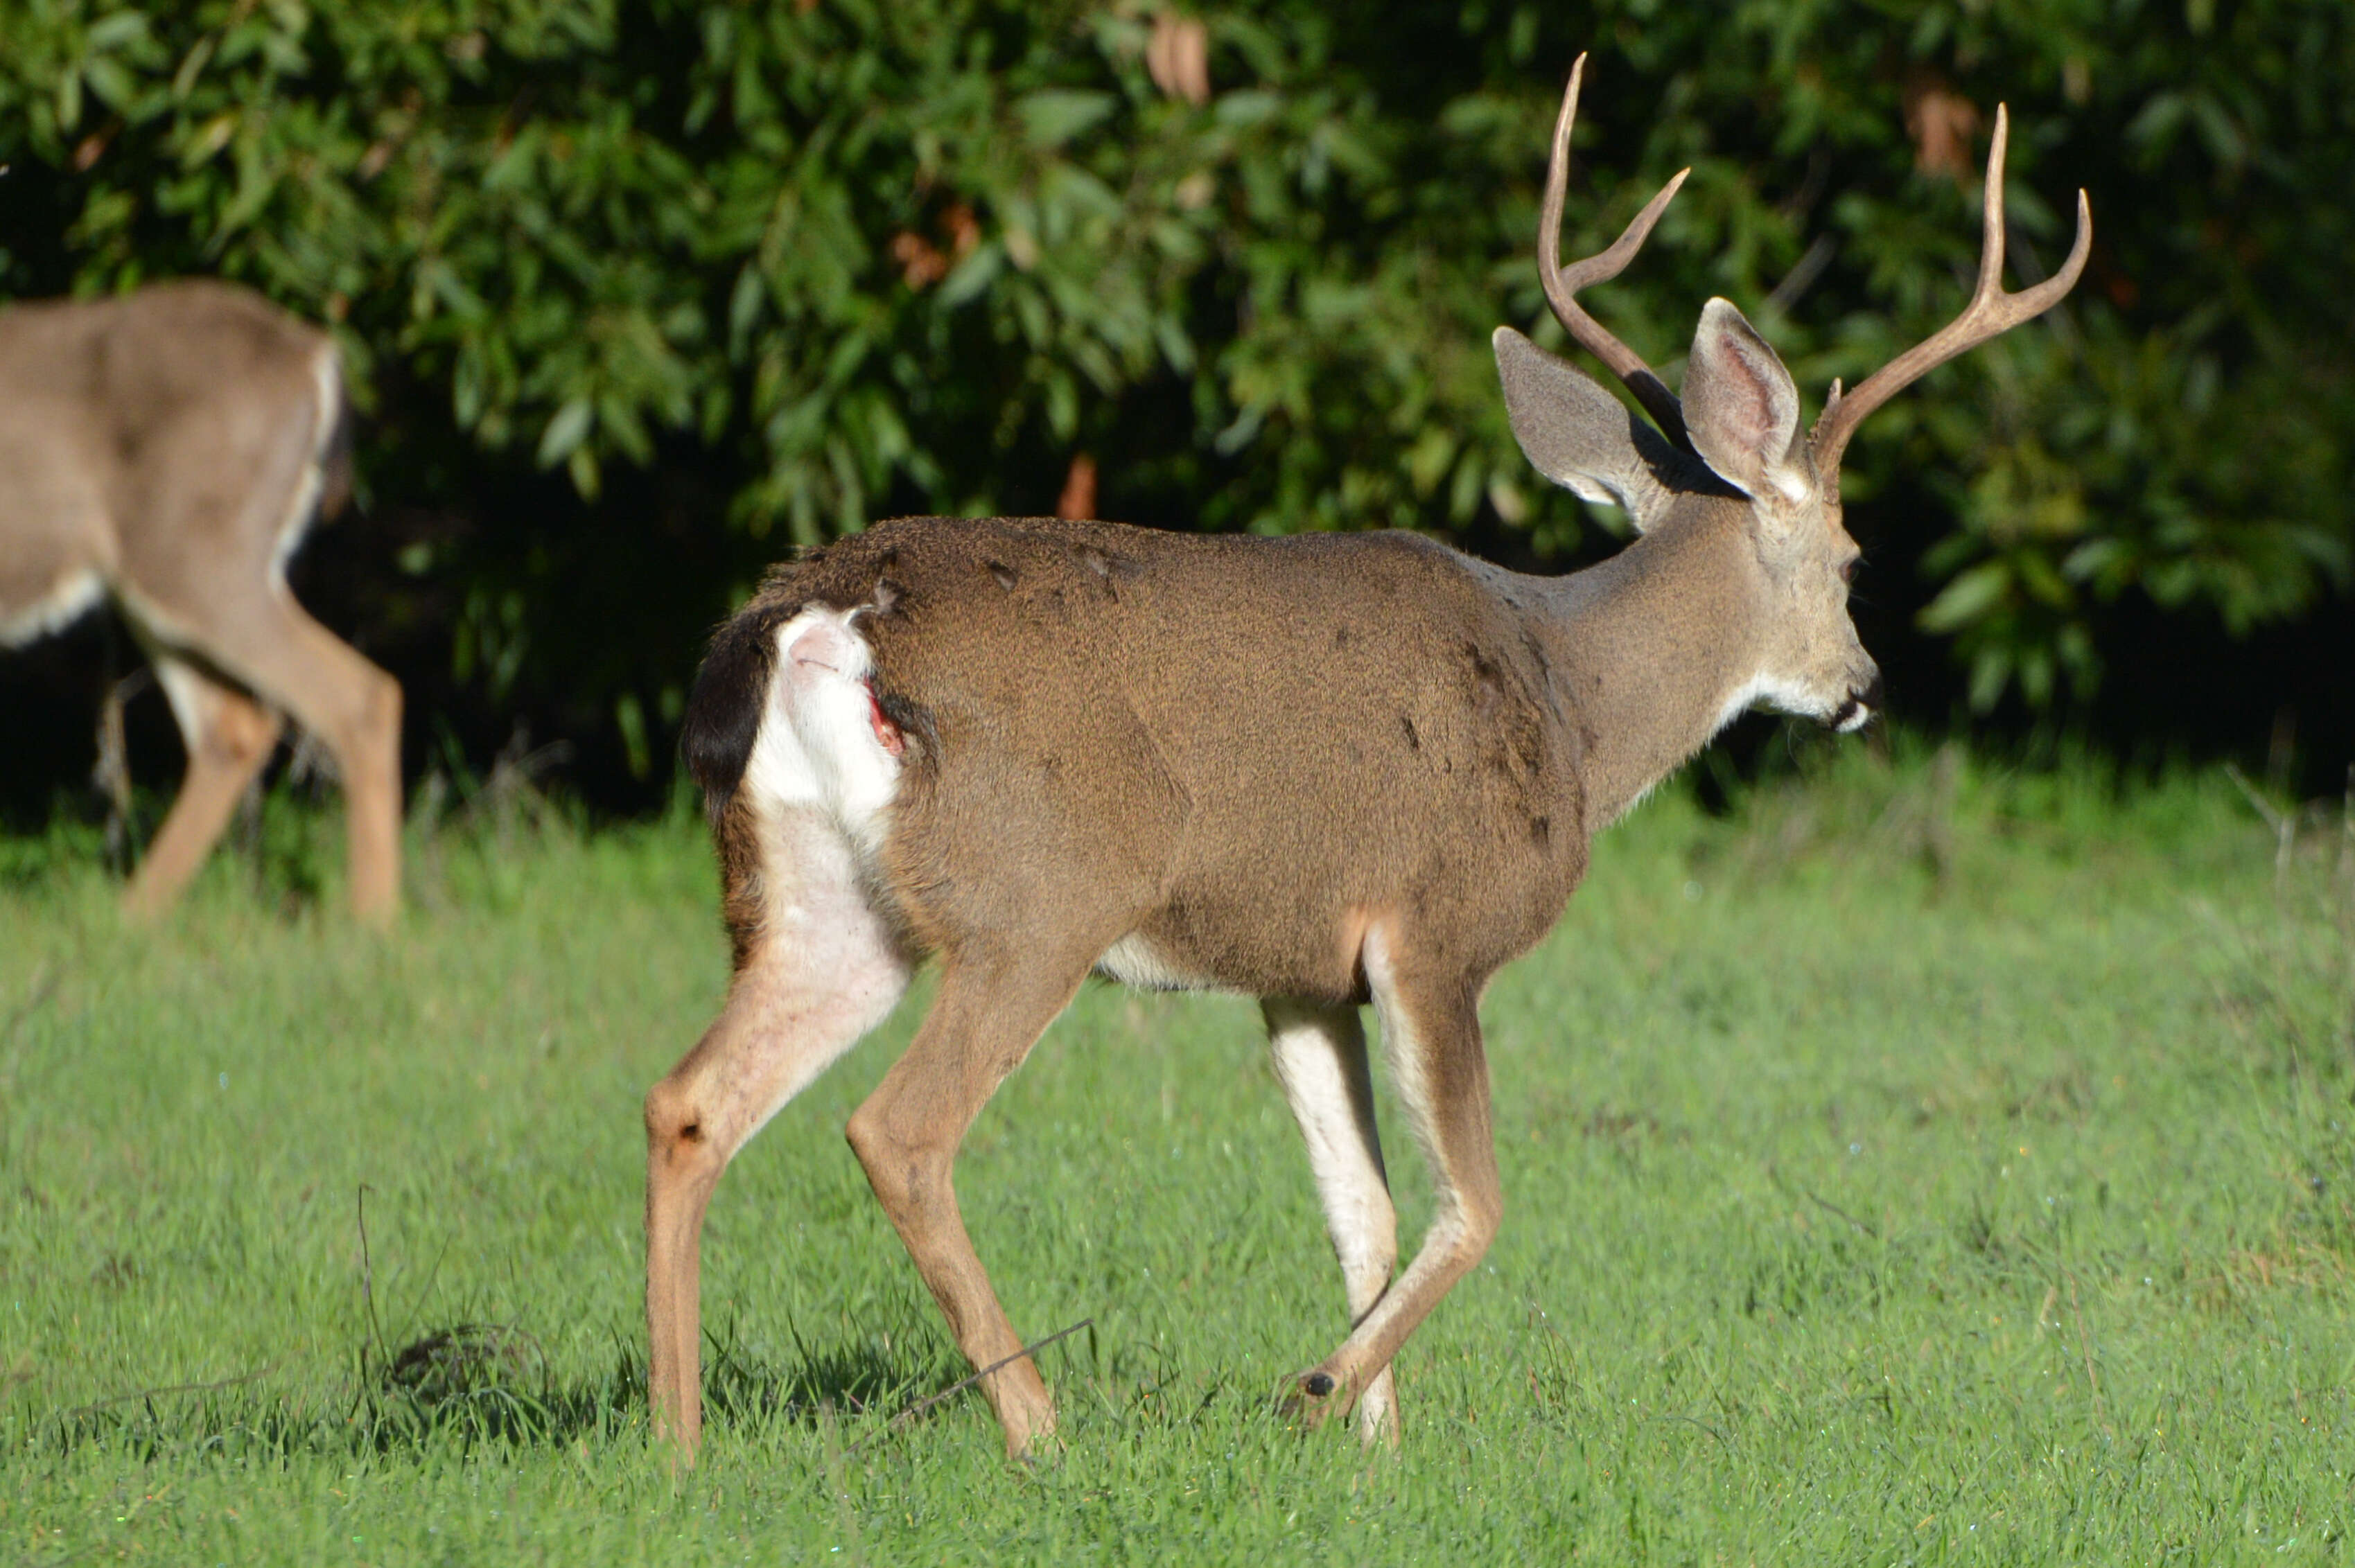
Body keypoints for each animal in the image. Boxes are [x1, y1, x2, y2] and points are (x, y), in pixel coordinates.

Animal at [0, 279, 403, 922]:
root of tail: (314, 354)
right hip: (169, 577)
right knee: (234, 725)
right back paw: (131, 919)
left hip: (196, 552)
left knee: (358, 696)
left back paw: (371, 924)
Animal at [640, 55, 2081, 1459]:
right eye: (1849, 561)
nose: (1861, 689)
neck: (1570, 698)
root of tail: (805, 614)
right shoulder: (1433, 927)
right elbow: (1475, 1202)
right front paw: (1321, 1390)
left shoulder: (1297, 967)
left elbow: (1363, 1209)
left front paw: (1375, 1450)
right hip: (1036, 898)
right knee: (898, 1130)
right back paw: (1037, 1431)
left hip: (821, 903)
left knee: (687, 1102)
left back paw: (678, 1441)